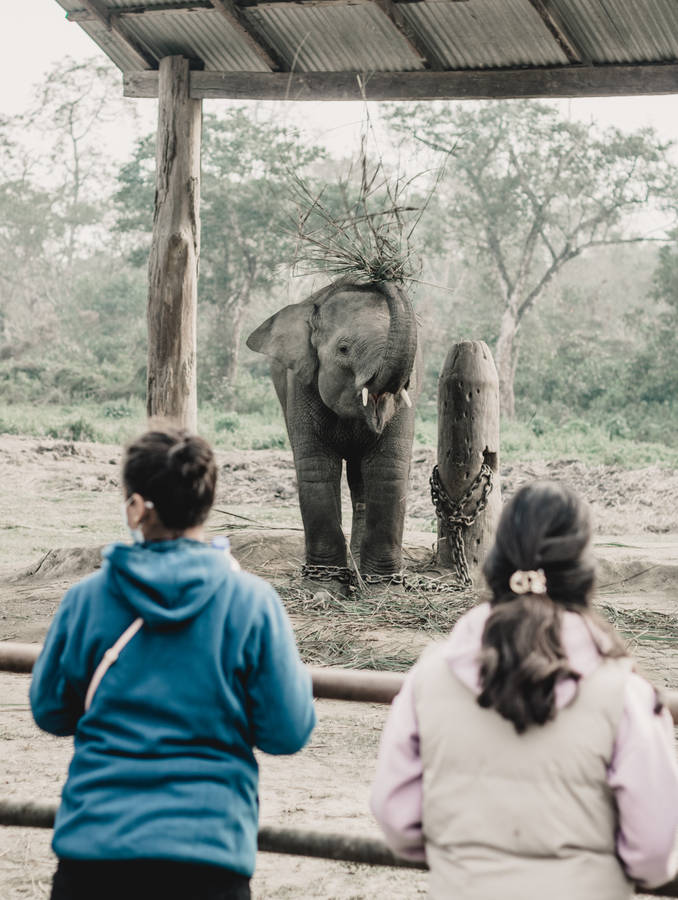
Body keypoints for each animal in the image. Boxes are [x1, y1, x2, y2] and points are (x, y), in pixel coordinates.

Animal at [246, 278, 421, 577]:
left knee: (361, 478)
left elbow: (387, 466)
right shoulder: (300, 384)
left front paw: (382, 582)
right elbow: (317, 465)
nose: (378, 276)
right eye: (343, 349)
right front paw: (324, 581)